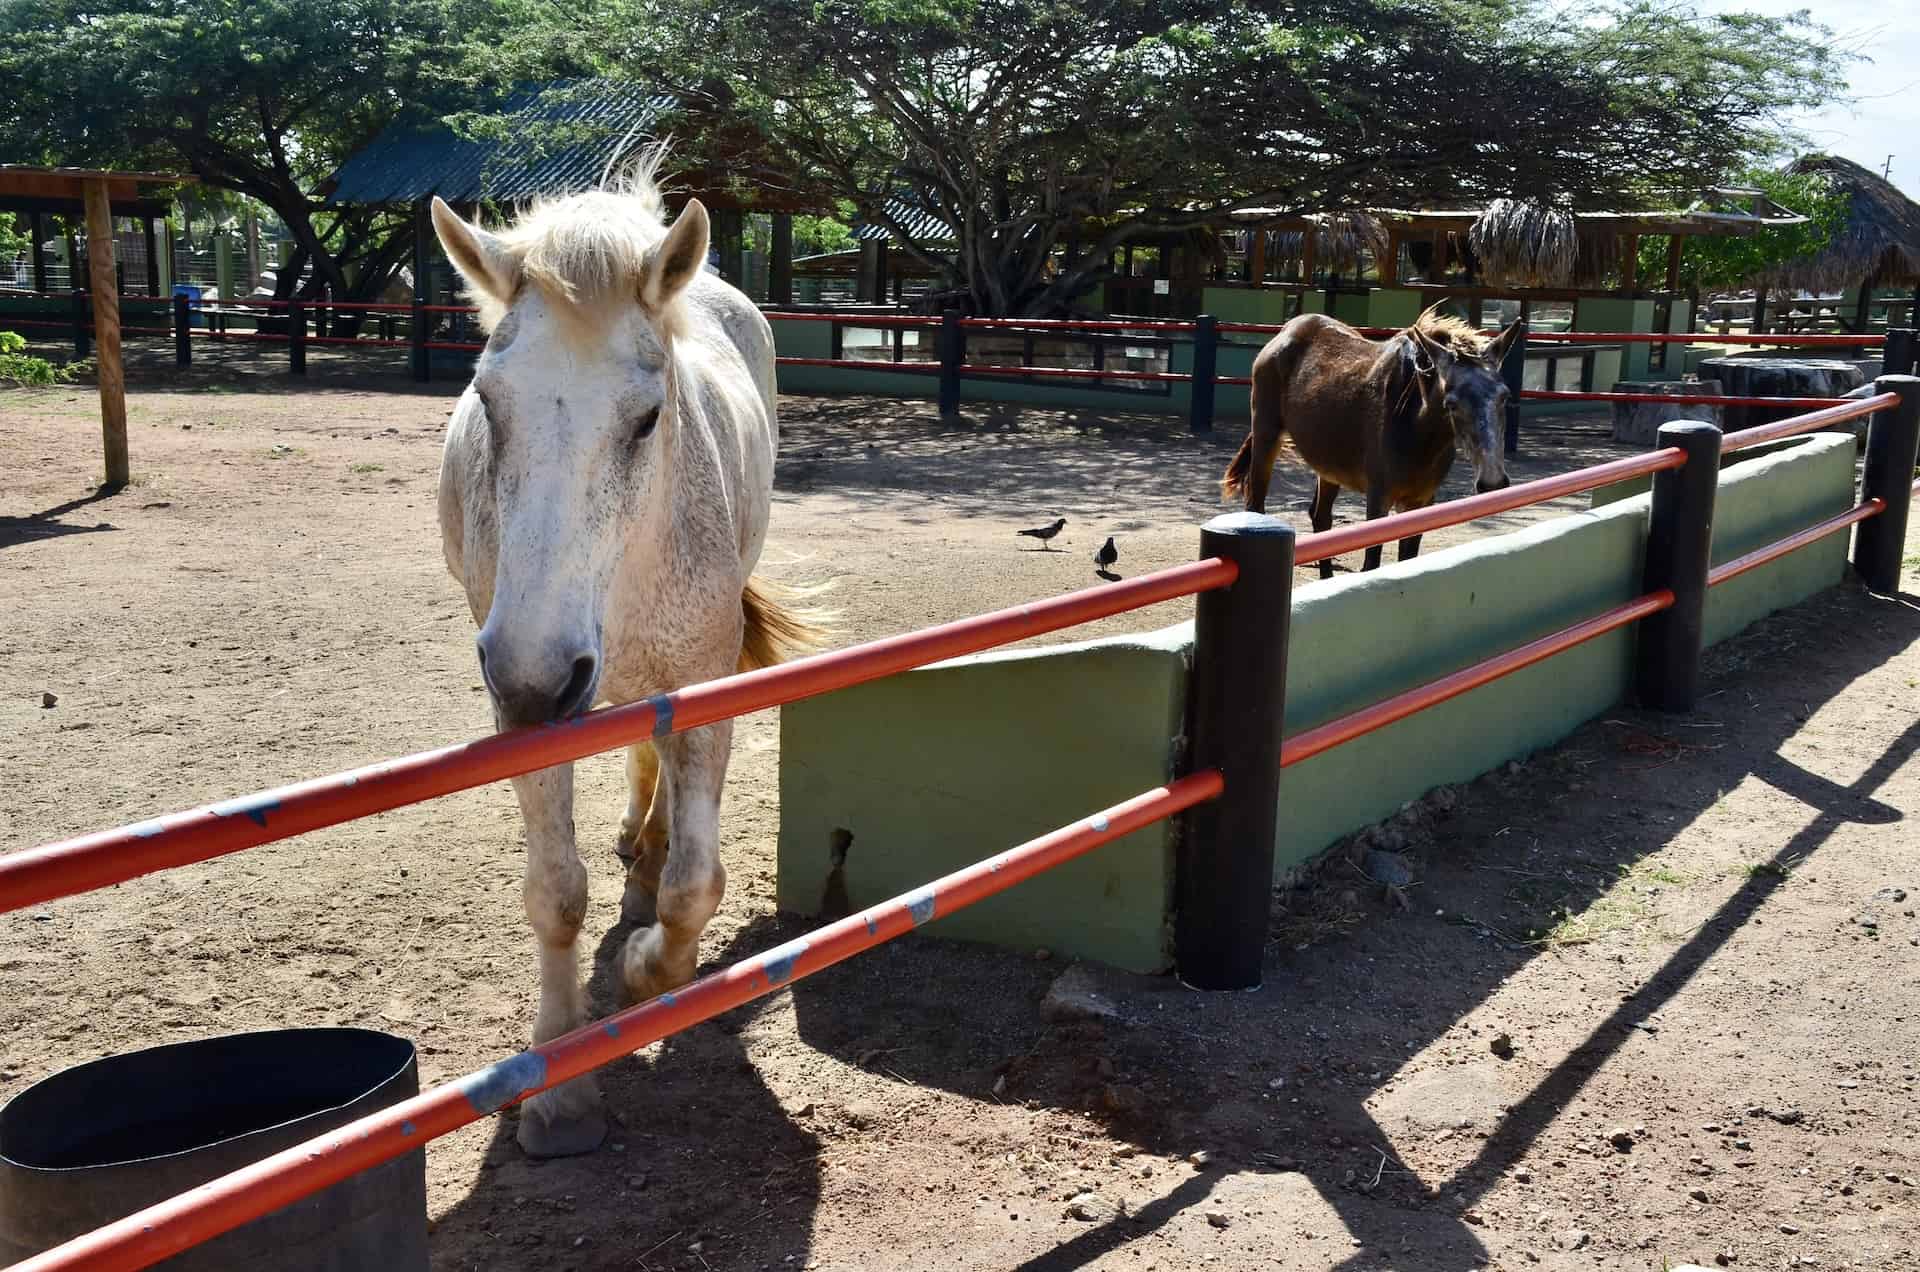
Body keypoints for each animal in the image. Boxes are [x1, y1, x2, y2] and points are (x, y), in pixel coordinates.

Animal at [432, 164, 821, 1160]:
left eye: (648, 418)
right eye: (488, 404)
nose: (533, 674)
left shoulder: (702, 687)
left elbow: (696, 885)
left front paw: (650, 971)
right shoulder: (526, 713)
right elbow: (555, 893)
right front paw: (560, 1090)